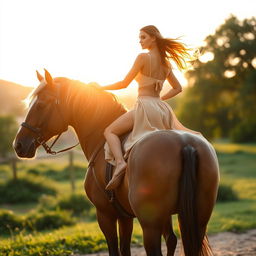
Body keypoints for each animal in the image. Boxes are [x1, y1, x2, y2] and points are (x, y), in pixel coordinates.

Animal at [13, 70, 219, 256]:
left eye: (41, 104)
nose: (18, 145)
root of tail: (186, 144)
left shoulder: (106, 215)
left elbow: (115, 249)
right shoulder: (127, 217)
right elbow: (147, 245)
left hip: (150, 224)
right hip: (198, 220)